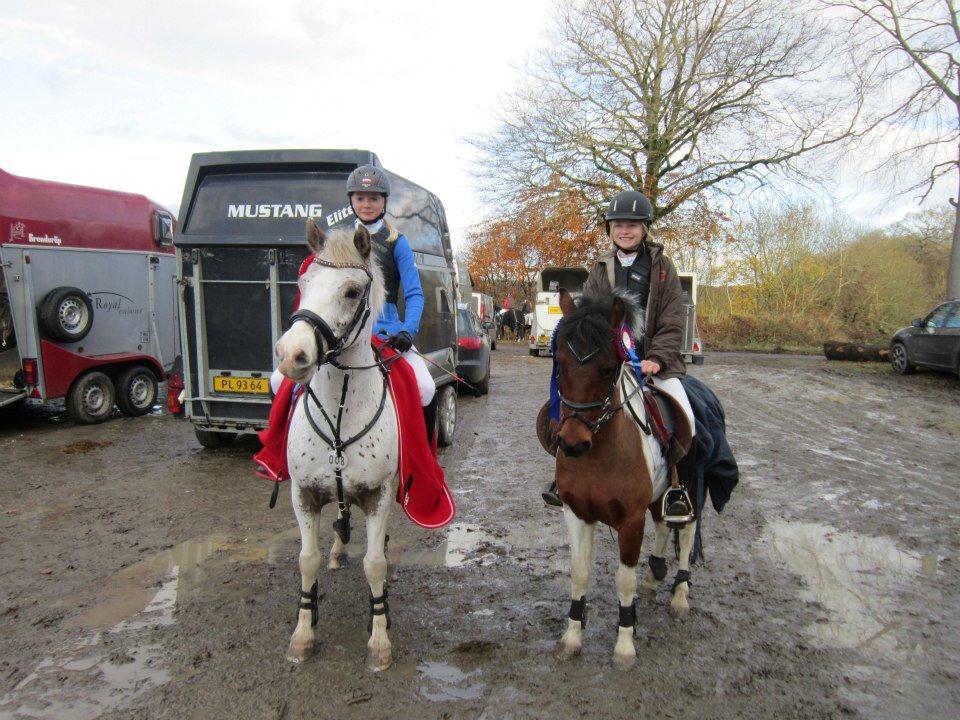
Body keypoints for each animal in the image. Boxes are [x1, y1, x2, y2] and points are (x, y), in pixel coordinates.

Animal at [548, 288, 696, 668]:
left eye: (606, 368)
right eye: (560, 365)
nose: (572, 443)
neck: (600, 453)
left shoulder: (630, 520)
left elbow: (623, 580)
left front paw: (625, 645)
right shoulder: (577, 513)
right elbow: (579, 572)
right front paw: (573, 636)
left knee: (686, 533)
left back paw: (680, 596)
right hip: (658, 497)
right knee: (663, 526)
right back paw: (654, 577)